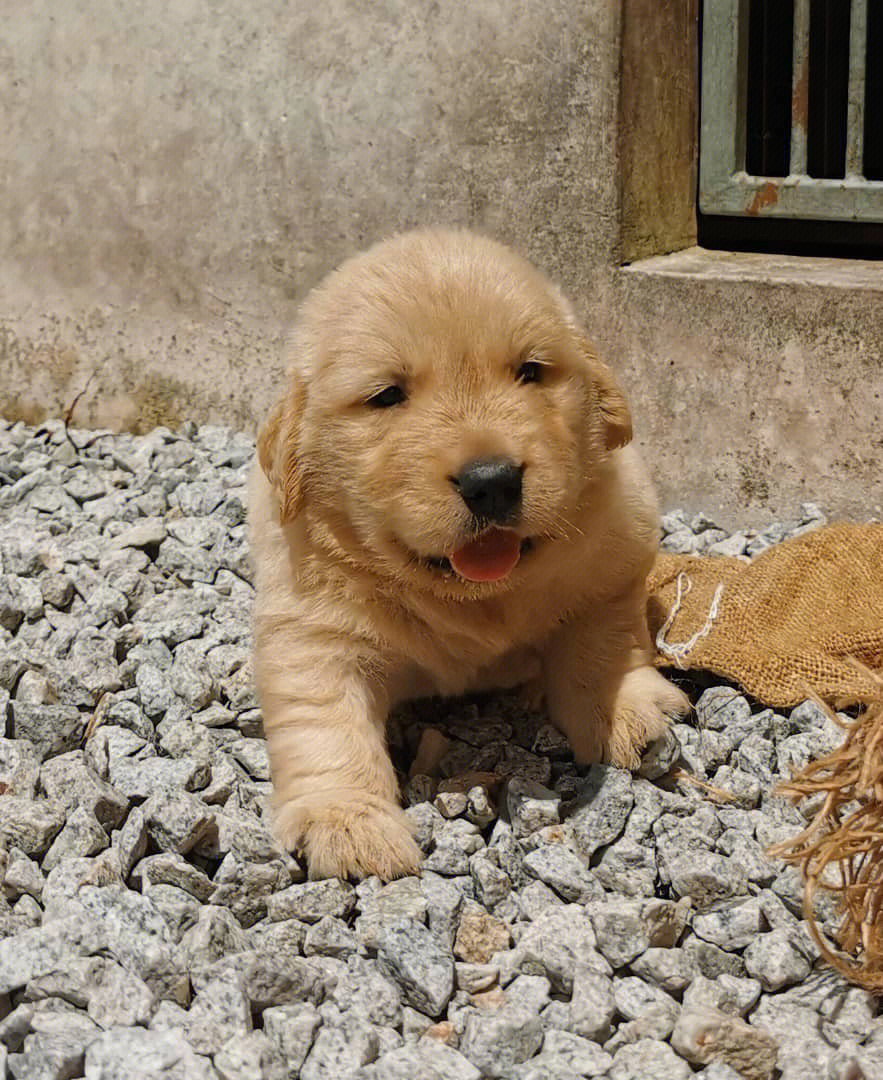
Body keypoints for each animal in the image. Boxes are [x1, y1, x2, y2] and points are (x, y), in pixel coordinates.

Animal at [248, 227, 686, 876]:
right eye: (386, 395)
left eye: (531, 371)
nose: (492, 480)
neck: (472, 598)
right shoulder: (312, 628)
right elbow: (323, 721)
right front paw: (346, 821)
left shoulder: (614, 555)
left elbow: (601, 644)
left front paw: (624, 708)